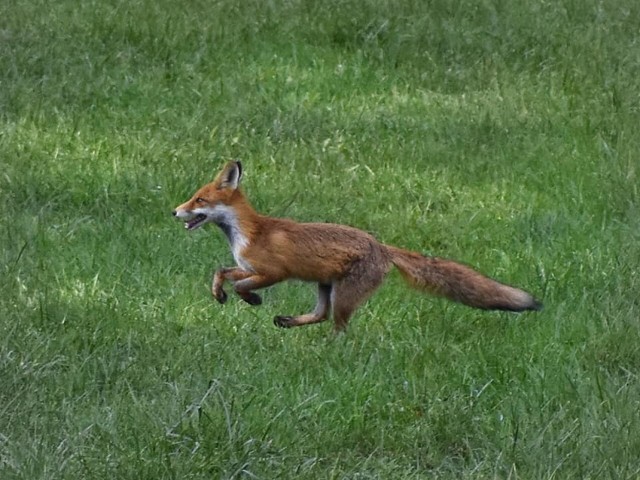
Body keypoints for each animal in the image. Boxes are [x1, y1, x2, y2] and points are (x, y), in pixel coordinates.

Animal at [172, 160, 544, 330]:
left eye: (199, 199)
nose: (175, 211)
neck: (247, 232)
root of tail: (382, 246)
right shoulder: (247, 267)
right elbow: (221, 272)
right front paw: (220, 294)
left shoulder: (274, 272)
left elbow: (241, 285)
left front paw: (251, 299)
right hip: (325, 286)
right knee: (320, 315)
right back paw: (289, 321)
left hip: (344, 297)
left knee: (337, 327)